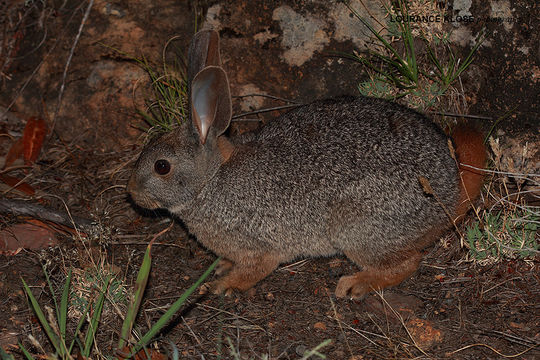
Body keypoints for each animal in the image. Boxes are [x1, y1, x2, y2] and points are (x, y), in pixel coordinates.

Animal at [129, 29, 488, 298]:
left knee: (407, 262)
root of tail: (449, 194)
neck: (211, 180)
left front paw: (225, 284)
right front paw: (221, 267)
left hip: (356, 223)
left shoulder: (260, 247)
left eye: (162, 167)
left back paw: (356, 284)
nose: (131, 193)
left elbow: (255, 269)